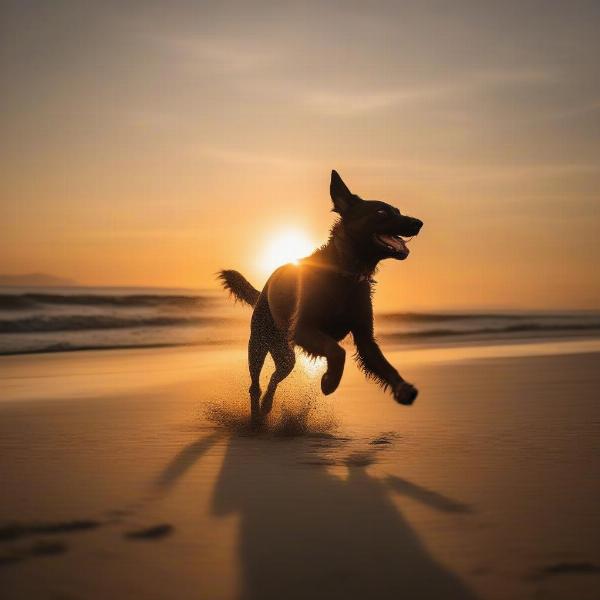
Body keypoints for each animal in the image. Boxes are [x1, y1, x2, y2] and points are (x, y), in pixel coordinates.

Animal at [219, 169, 422, 422]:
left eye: (398, 210)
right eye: (381, 212)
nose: (419, 223)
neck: (345, 273)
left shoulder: (365, 338)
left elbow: (385, 366)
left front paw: (403, 389)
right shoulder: (302, 328)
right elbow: (337, 350)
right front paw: (329, 381)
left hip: (285, 356)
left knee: (275, 376)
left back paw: (266, 407)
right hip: (260, 344)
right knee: (255, 384)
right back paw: (257, 416)